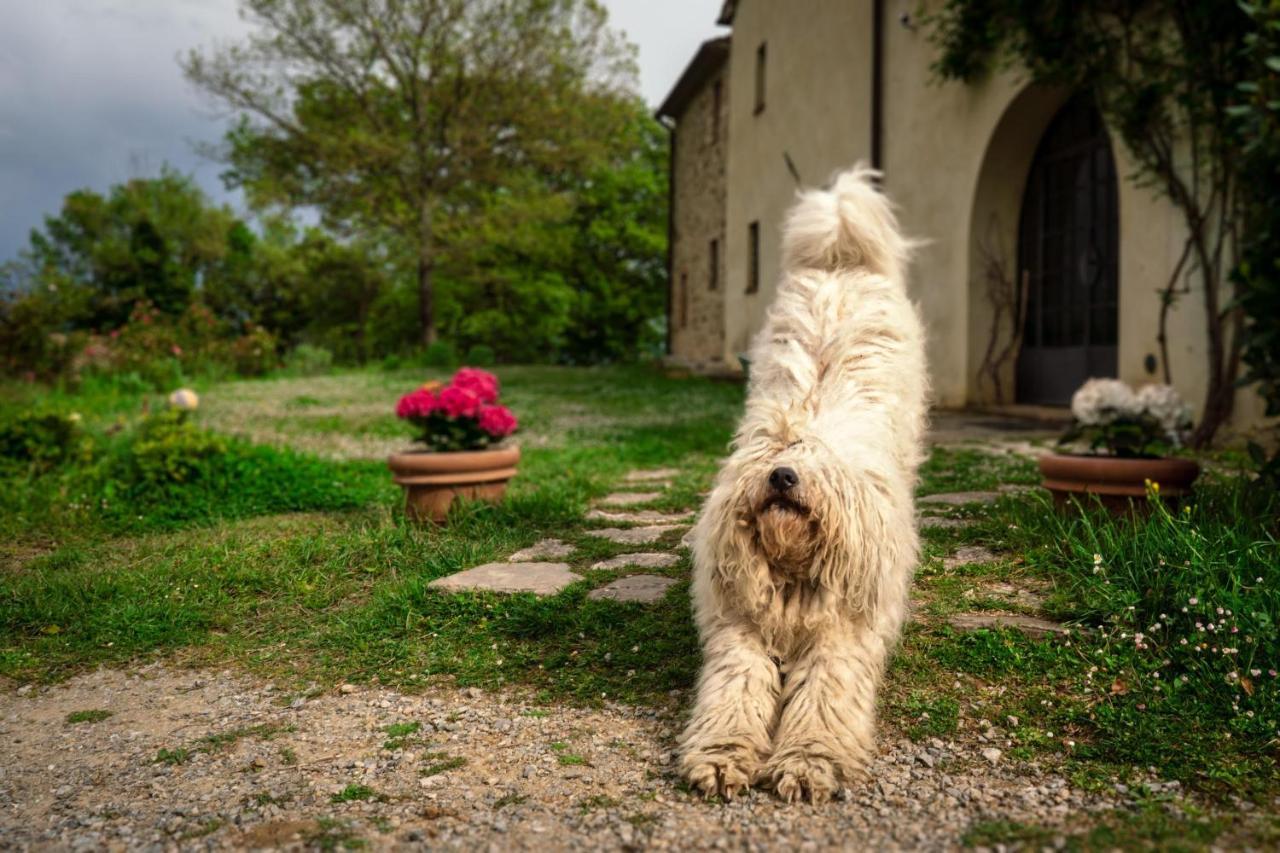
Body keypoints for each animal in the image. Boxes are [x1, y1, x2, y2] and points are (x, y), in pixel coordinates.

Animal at [675, 166, 926, 804]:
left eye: (811, 461)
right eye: (775, 453)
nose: (783, 476)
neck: (792, 567)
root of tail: (841, 261)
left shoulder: (840, 637)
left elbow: (822, 702)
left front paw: (809, 763)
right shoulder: (740, 630)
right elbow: (734, 692)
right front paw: (721, 758)